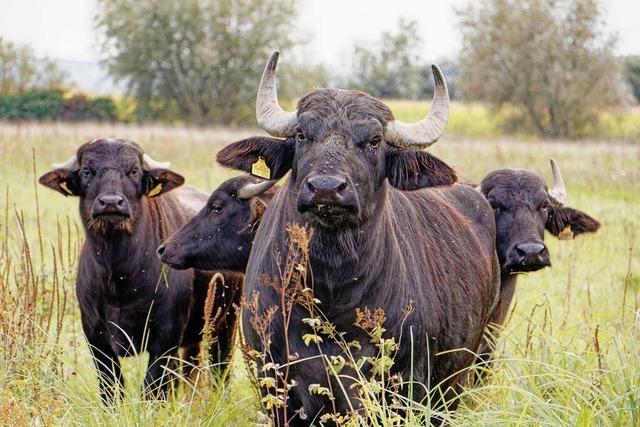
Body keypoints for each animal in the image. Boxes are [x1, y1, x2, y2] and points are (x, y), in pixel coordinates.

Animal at [38, 140, 242, 404]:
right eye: (86, 171)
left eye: (134, 170)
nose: (111, 202)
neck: (120, 276)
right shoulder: (96, 337)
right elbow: (111, 388)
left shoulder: (164, 337)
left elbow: (152, 389)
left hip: (227, 324)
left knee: (219, 370)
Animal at [215, 51, 500, 424]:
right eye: (302, 135)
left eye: (374, 141)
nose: (326, 188)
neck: (332, 292)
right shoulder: (275, 384)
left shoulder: (406, 386)